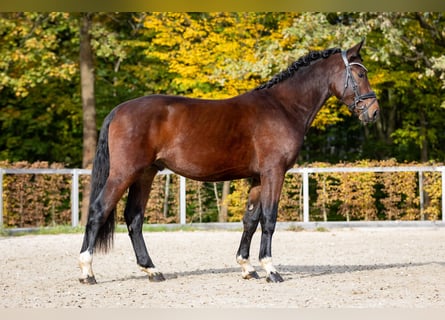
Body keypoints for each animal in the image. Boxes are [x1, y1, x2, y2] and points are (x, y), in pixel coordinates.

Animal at [79, 39, 378, 282]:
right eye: (360, 73)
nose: (373, 111)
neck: (283, 107)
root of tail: (118, 110)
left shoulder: (258, 177)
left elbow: (250, 220)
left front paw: (247, 267)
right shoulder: (274, 172)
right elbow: (269, 219)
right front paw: (270, 269)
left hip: (145, 174)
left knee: (134, 218)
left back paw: (152, 270)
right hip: (124, 173)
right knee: (97, 211)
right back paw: (87, 272)